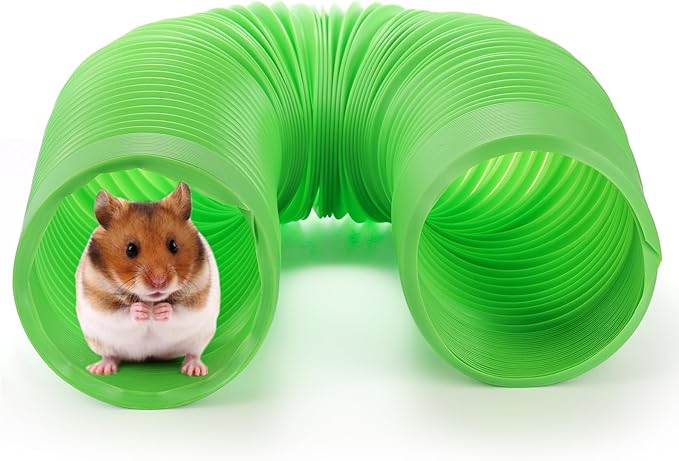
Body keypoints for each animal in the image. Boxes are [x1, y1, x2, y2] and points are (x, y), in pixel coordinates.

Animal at [75, 182, 220, 376]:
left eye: (173, 245)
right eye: (130, 249)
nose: (159, 281)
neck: (151, 300)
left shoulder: (197, 301)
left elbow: (179, 313)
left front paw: (159, 311)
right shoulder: (99, 303)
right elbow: (121, 313)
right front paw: (143, 310)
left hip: (202, 337)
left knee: (193, 353)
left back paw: (194, 370)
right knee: (111, 355)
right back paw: (100, 369)